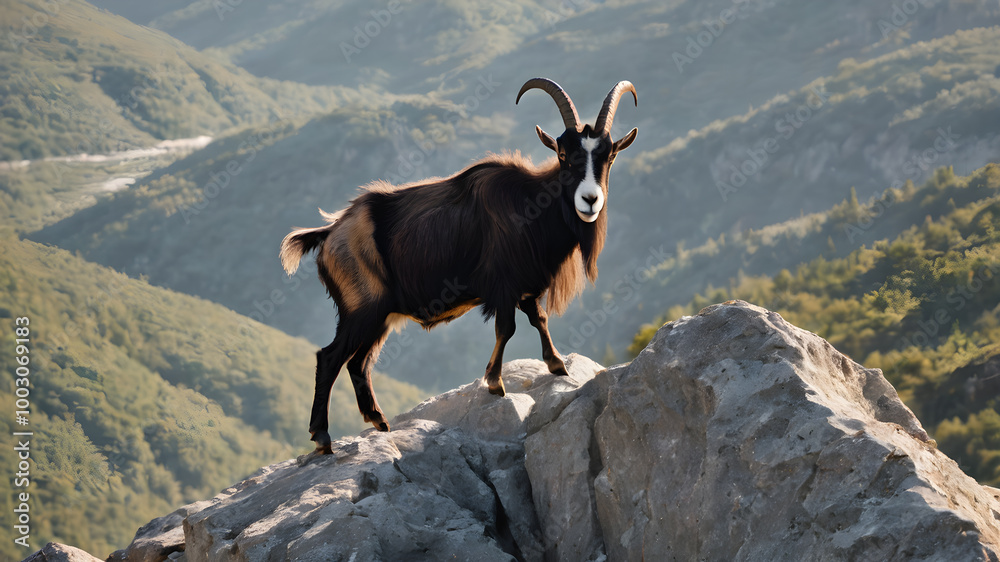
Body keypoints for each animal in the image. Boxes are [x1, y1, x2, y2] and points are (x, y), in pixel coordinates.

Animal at [280, 78, 638, 453]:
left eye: (609, 155)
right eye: (564, 155)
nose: (590, 200)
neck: (531, 203)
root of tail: (330, 232)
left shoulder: (525, 286)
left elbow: (538, 319)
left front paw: (557, 366)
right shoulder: (503, 286)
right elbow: (507, 328)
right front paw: (495, 382)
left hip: (379, 318)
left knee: (358, 364)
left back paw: (379, 421)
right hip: (363, 310)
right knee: (330, 358)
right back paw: (323, 437)